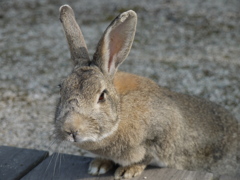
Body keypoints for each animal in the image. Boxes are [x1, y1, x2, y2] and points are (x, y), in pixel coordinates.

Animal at [55, 4, 239, 180]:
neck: (121, 112)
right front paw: (99, 165)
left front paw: (127, 171)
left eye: (101, 96)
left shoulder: (160, 135)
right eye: (60, 89)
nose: (71, 130)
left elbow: (146, 157)